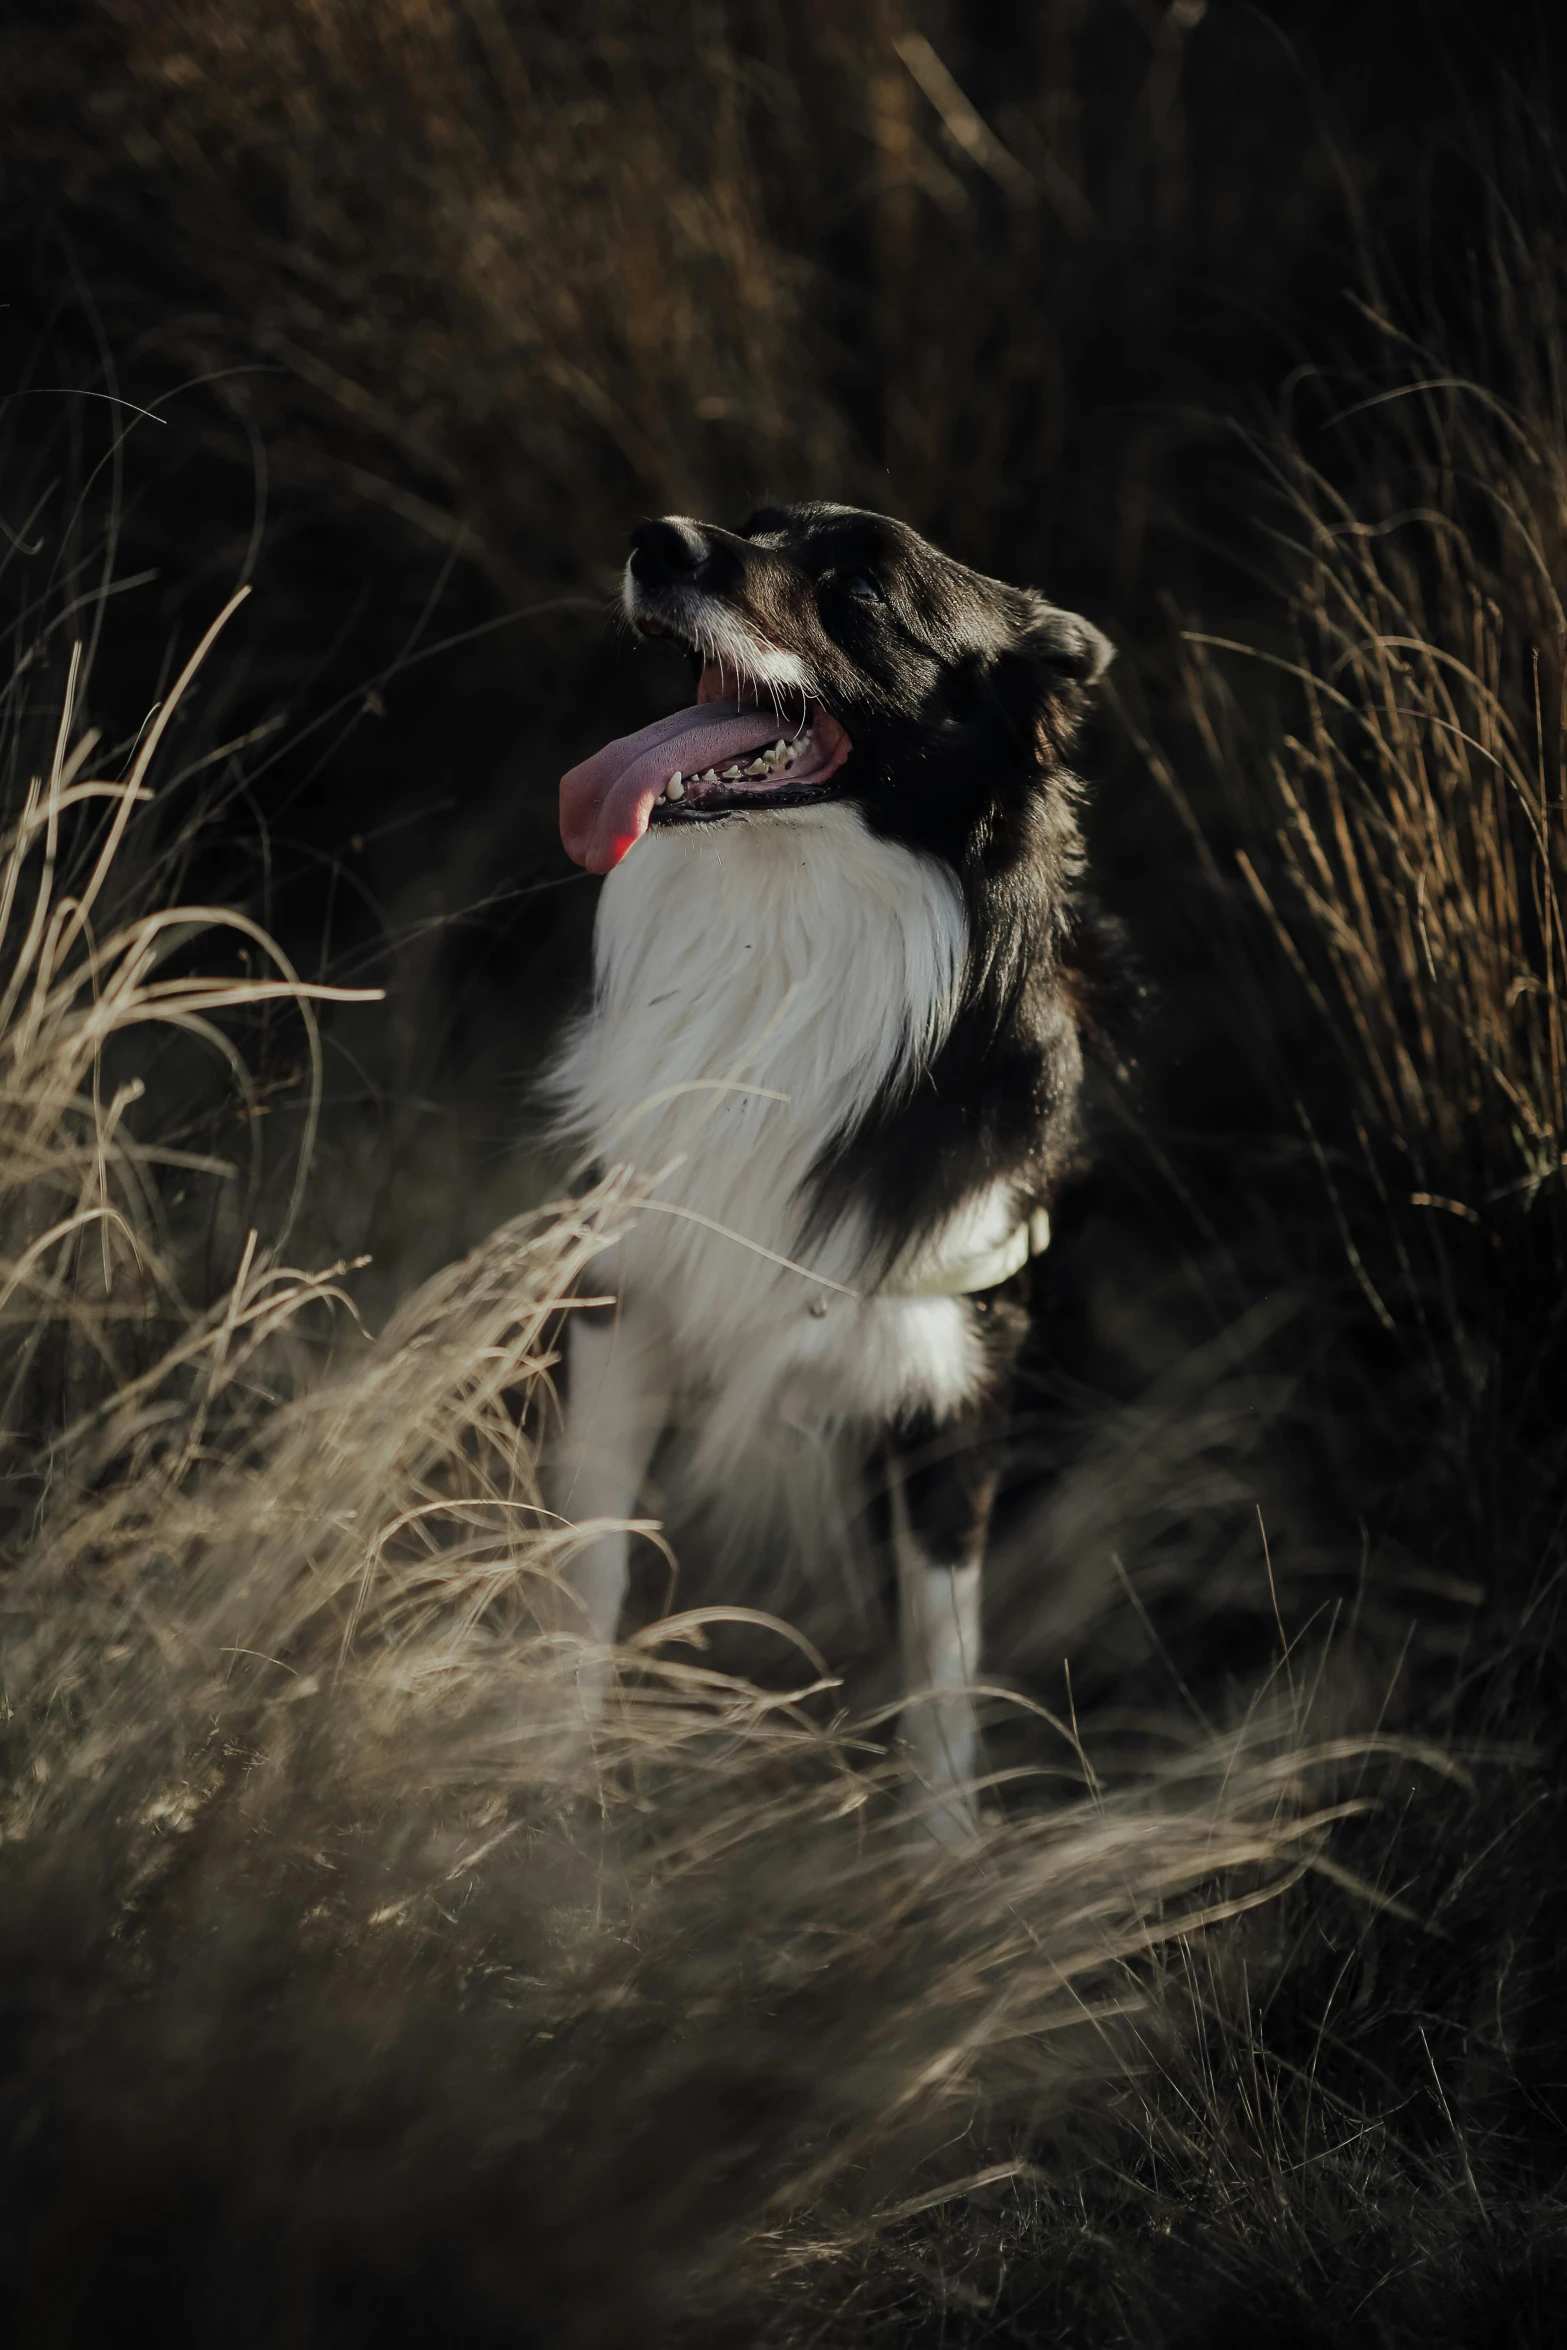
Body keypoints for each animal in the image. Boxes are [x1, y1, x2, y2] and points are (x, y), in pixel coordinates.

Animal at [552, 505, 1113, 1842]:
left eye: (857, 591)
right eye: (750, 522)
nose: (657, 539)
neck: (790, 937)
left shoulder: (951, 1377)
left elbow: (941, 1661)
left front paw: (942, 1859)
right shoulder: (623, 1302)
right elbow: (589, 1570)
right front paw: (533, 1793)